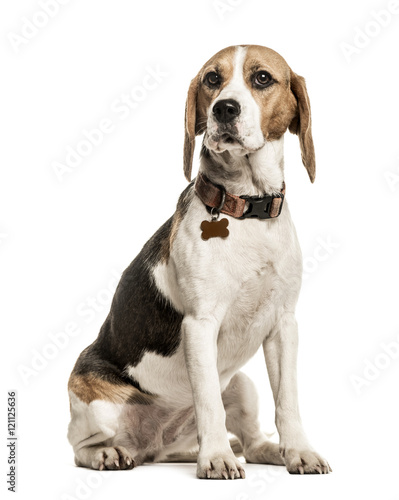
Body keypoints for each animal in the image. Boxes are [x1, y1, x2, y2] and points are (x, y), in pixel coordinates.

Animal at [68, 45, 332, 478]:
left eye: (262, 78)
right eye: (212, 79)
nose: (224, 108)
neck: (247, 208)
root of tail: (154, 447)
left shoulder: (283, 325)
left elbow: (288, 402)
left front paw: (299, 451)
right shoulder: (200, 325)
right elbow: (209, 404)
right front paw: (217, 458)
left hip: (242, 384)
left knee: (252, 440)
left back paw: (268, 451)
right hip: (97, 405)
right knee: (80, 446)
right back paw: (110, 454)